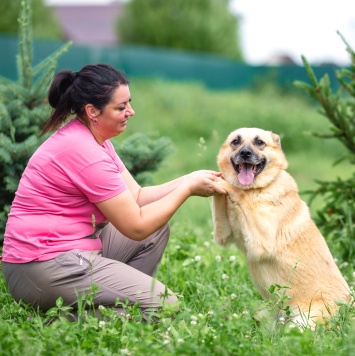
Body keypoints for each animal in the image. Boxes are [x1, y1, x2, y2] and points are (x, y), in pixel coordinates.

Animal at [213, 128, 352, 328]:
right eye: (235, 142)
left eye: (259, 142)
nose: (245, 153)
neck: (256, 190)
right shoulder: (223, 234)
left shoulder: (260, 241)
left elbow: (239, 193)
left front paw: (226, 183)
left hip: (302, 321)